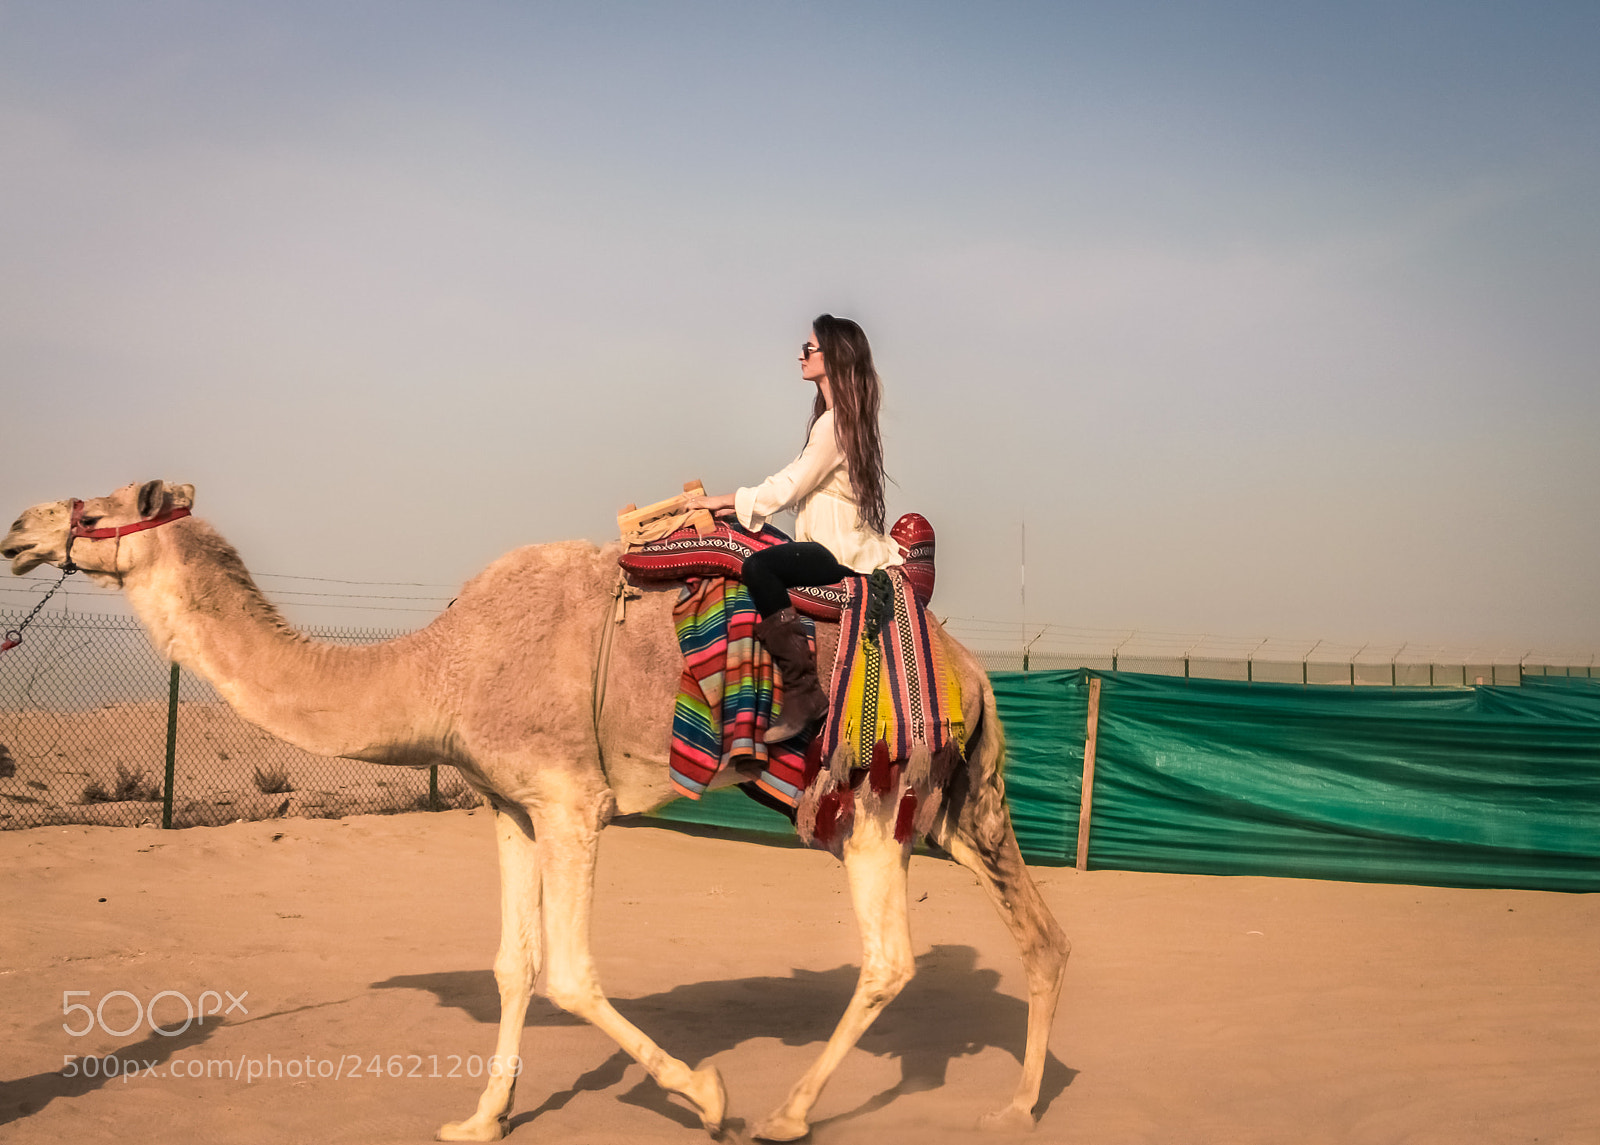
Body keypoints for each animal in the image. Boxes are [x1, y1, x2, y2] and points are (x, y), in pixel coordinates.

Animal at [3, 480, 1069, 1141]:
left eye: (100, 505)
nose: (17, 527)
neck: (443, 667)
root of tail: (974, 670)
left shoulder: (571, 802)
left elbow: (571, 972)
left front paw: (707, 1094)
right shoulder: (509, 807)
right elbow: (513, 967)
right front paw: (479, 1118)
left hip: (872, 798)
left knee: (890, 958)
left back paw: (787, 1112)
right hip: (952, 806)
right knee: (1040, 933)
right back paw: (1017, 1106)